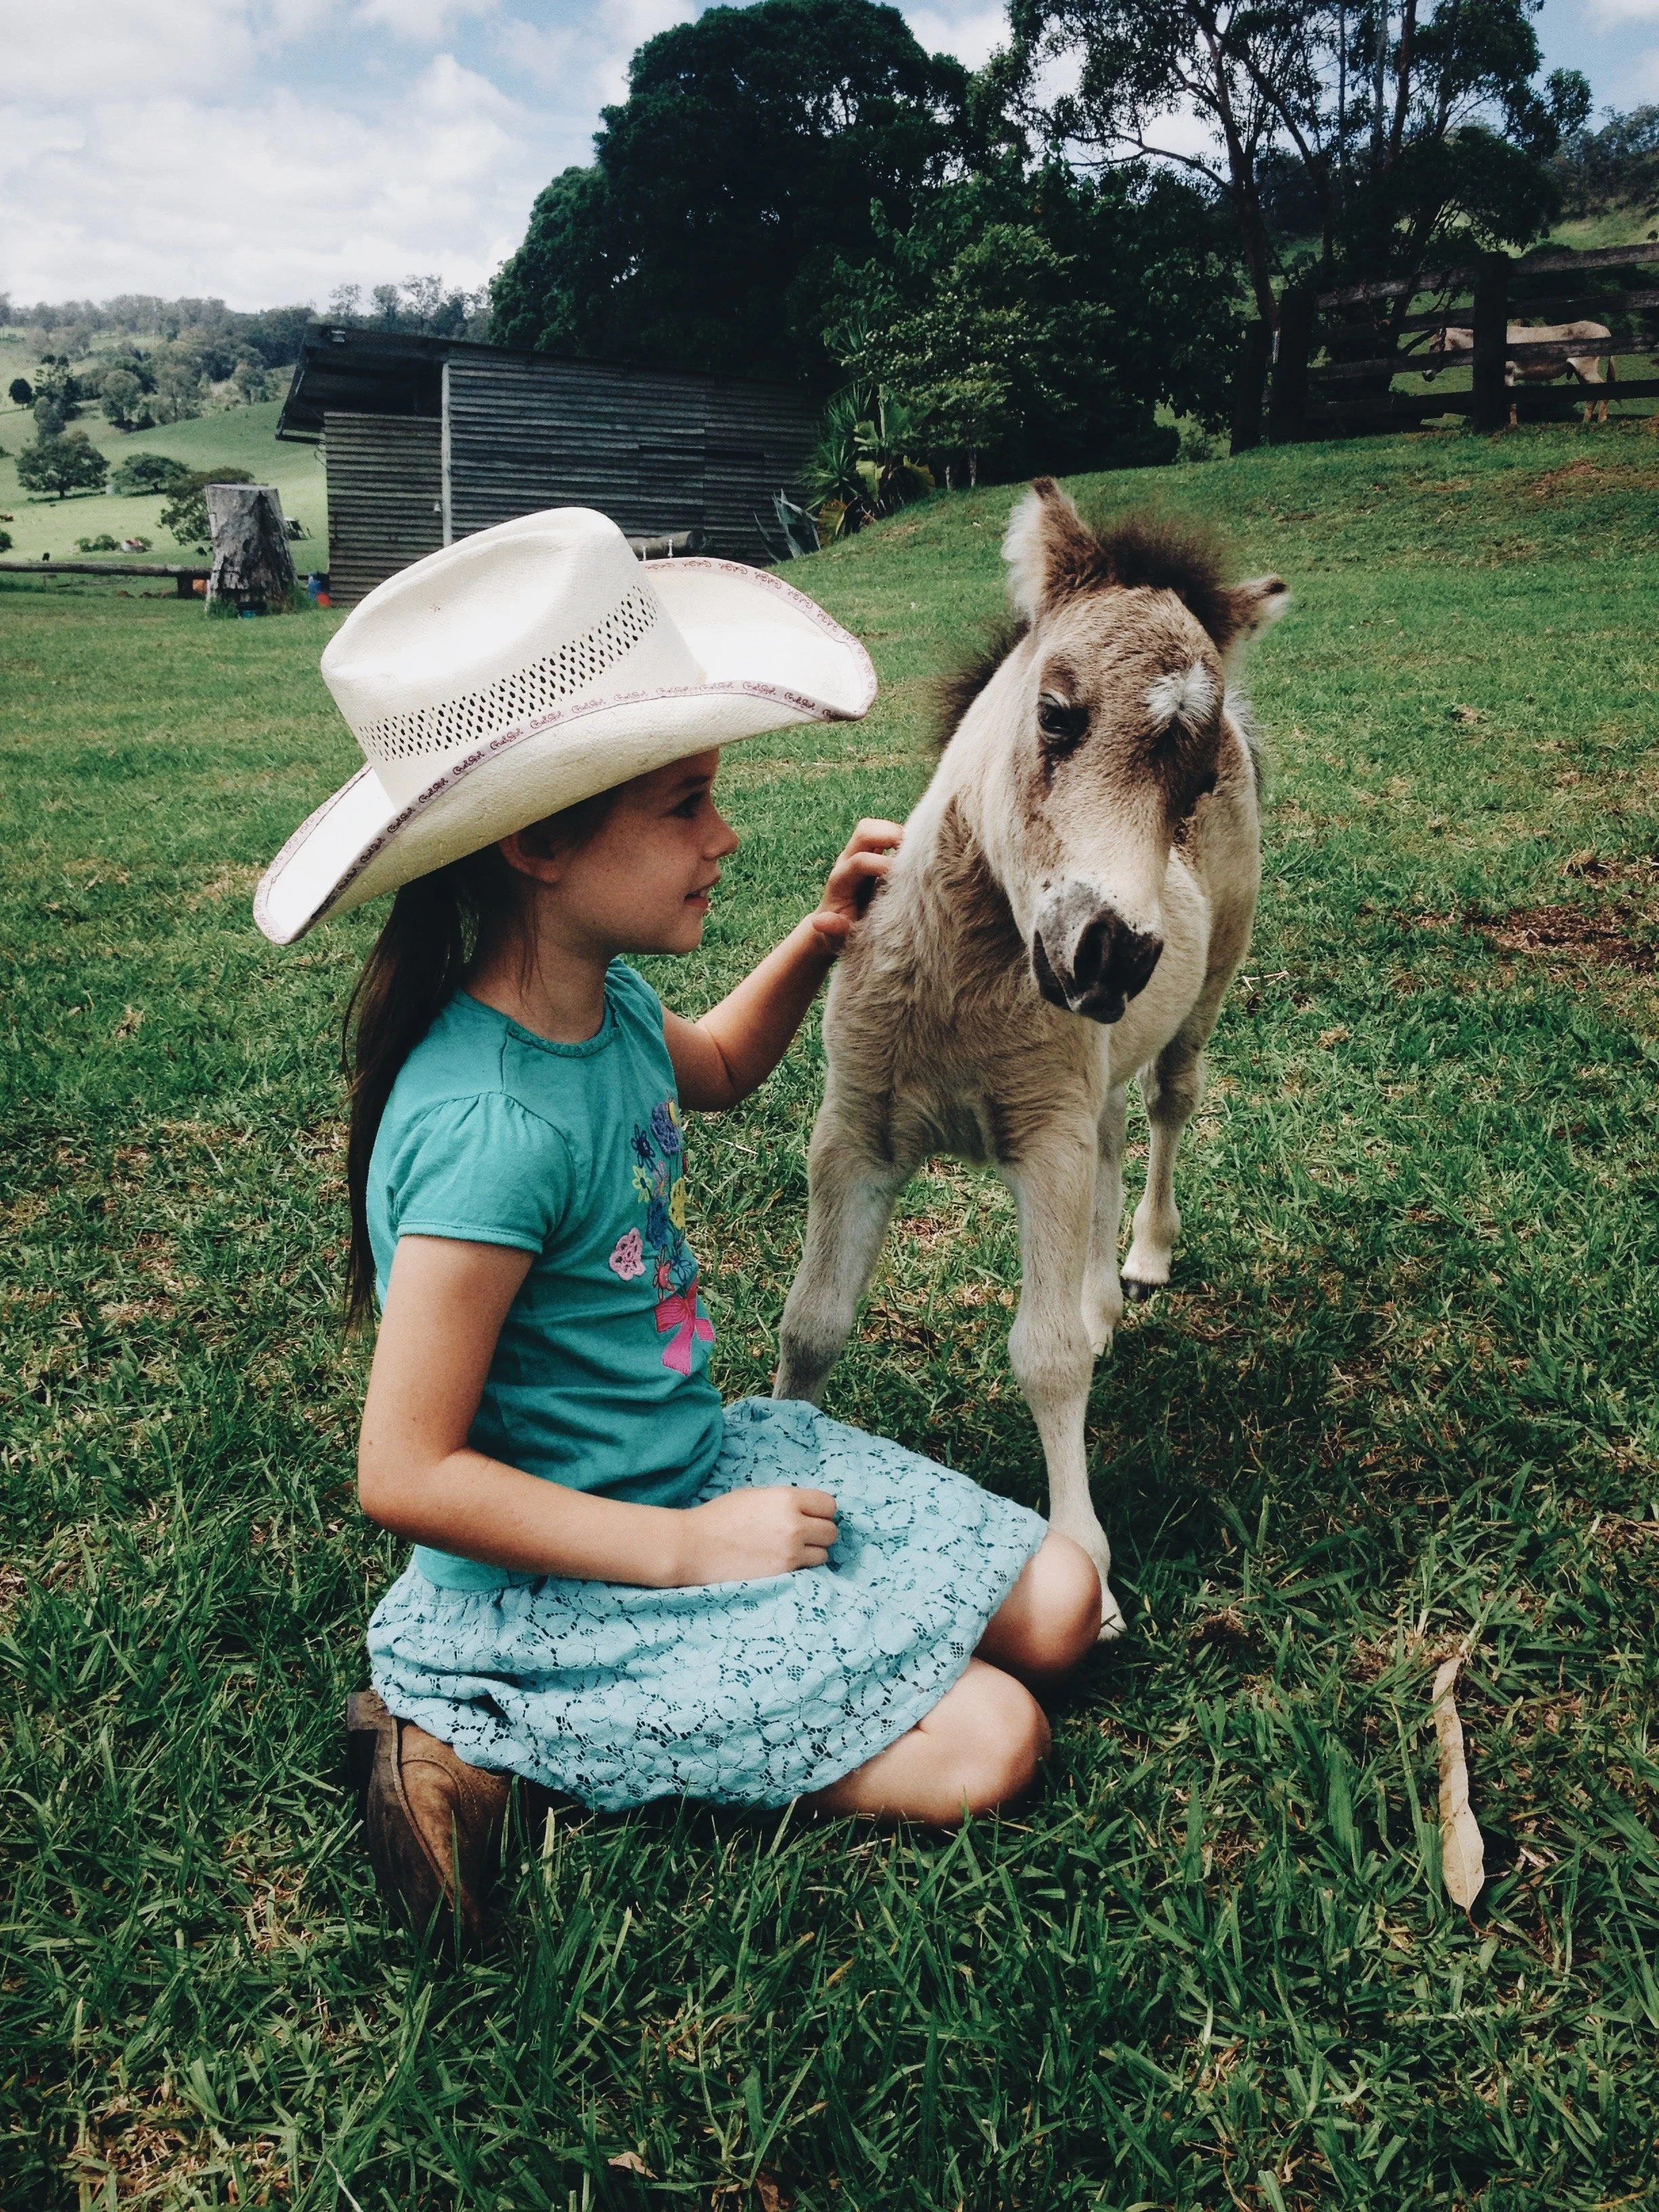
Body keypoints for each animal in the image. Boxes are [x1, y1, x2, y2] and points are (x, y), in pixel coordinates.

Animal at [774, 479, 1287, 1636]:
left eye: (1194, 783)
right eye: (1057, 714)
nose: (1114, 954)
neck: (964, 983)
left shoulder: (1041, 1141)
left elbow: (1043, 1359)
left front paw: (1084, 1571)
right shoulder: (854, 1132)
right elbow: (813, 1322)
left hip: (1199, 1002)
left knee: (1165, 1108)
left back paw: (1139, 1263)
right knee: (1112, 1131)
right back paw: (1100, 1302)